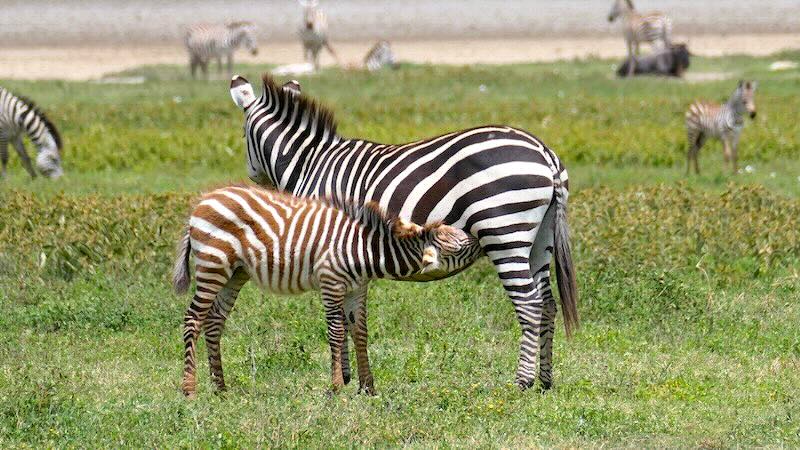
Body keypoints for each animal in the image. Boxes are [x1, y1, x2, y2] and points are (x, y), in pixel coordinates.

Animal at [172, 185, 479, 397]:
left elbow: (360, 332)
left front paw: (367, 387)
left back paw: (220, 387)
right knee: (193, 319)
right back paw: (189, 389)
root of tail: (203, 202)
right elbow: (336, 332)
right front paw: (336, 387)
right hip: (213, 265)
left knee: (214, 322)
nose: (481, 236)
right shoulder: (331, 282)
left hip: (235, 274)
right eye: (461, 246)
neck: (365, 251)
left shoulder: (357, 289)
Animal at [228, 75, 580, 390]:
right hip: (539, 239)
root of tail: (544, 152)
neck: (310, 163)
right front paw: (355, 380)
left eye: (243, 136)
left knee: (529, 304)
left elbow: (340, 317)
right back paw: (545, 381)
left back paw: (522, 382)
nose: (255, 178)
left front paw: (342, 378)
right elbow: (354, 318)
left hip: (505, 232)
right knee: (547, 303)